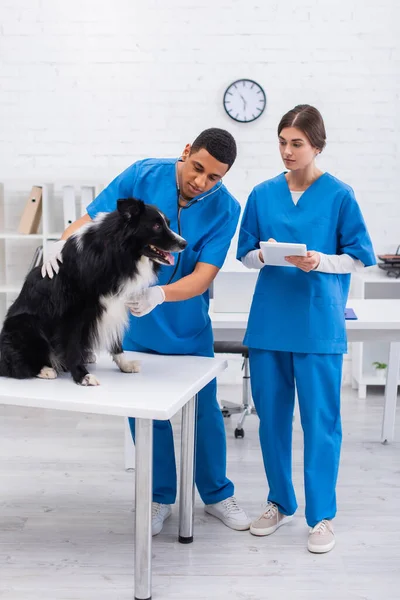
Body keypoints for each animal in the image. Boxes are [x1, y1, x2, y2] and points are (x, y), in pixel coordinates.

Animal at [0, 199, 188, 386]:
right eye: (156, 226)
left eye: (167, 223)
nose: (184, 244)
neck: (116, 253)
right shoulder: (73, 313)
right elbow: (73, 344)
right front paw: (82, 375)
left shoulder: (114, 305)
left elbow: (116, 341)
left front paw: (125, 364)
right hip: (25, 324)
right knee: (15, 364)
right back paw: (45, 369)